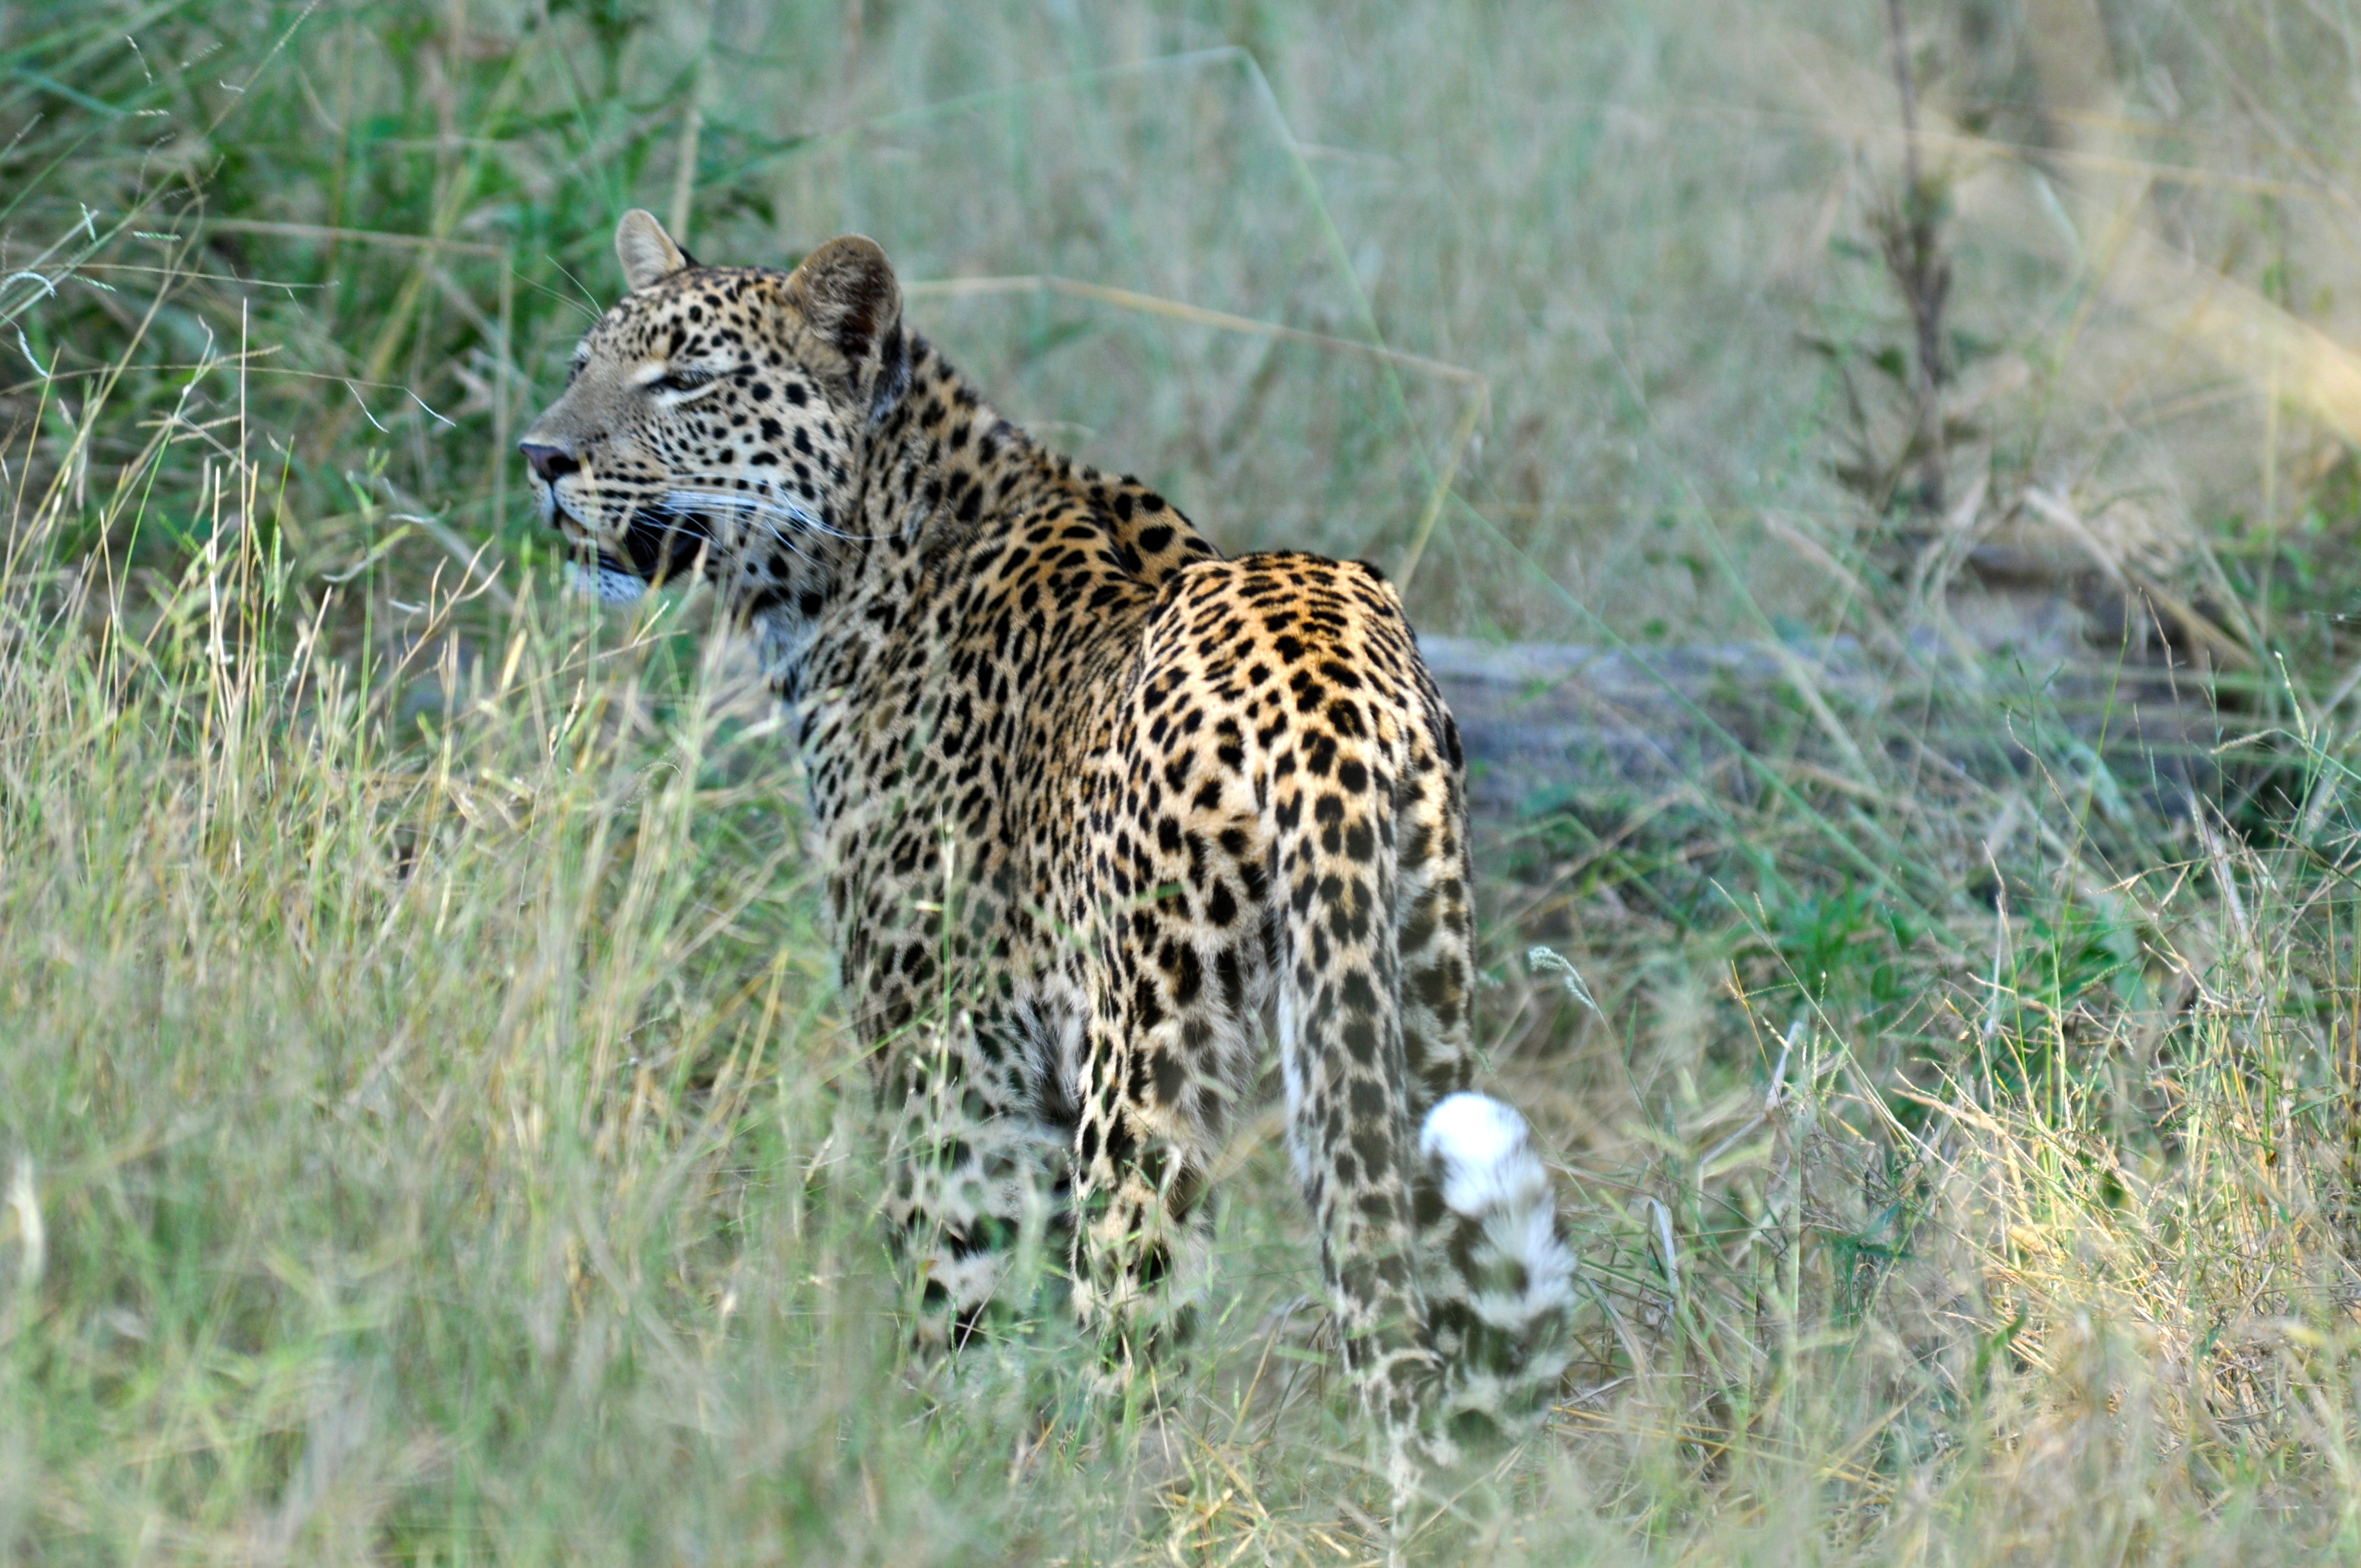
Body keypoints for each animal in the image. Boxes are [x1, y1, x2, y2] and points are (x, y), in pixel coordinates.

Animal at [517, 209, 1577, 1509]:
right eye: (584, 364)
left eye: (685, 381)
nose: (540, 455)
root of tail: (1322, 666)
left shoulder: (949, 1059)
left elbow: (956, 1292)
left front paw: (944, 1471)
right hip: (1413, 1011)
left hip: (1146, 1061)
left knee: (1137, 1336)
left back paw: (1101, 1501)